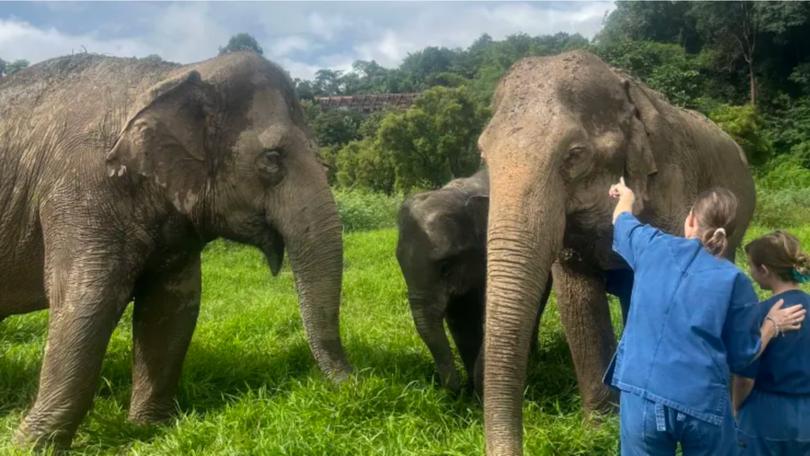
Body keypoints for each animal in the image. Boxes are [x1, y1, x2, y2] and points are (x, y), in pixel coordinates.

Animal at [0, 52, 348, 448]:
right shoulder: (77, 193)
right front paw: (27, 445)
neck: (175, 73)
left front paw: (149, 430)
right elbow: (87, 302)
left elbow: (171, 308)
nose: (355, 383)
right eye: (272, 159)